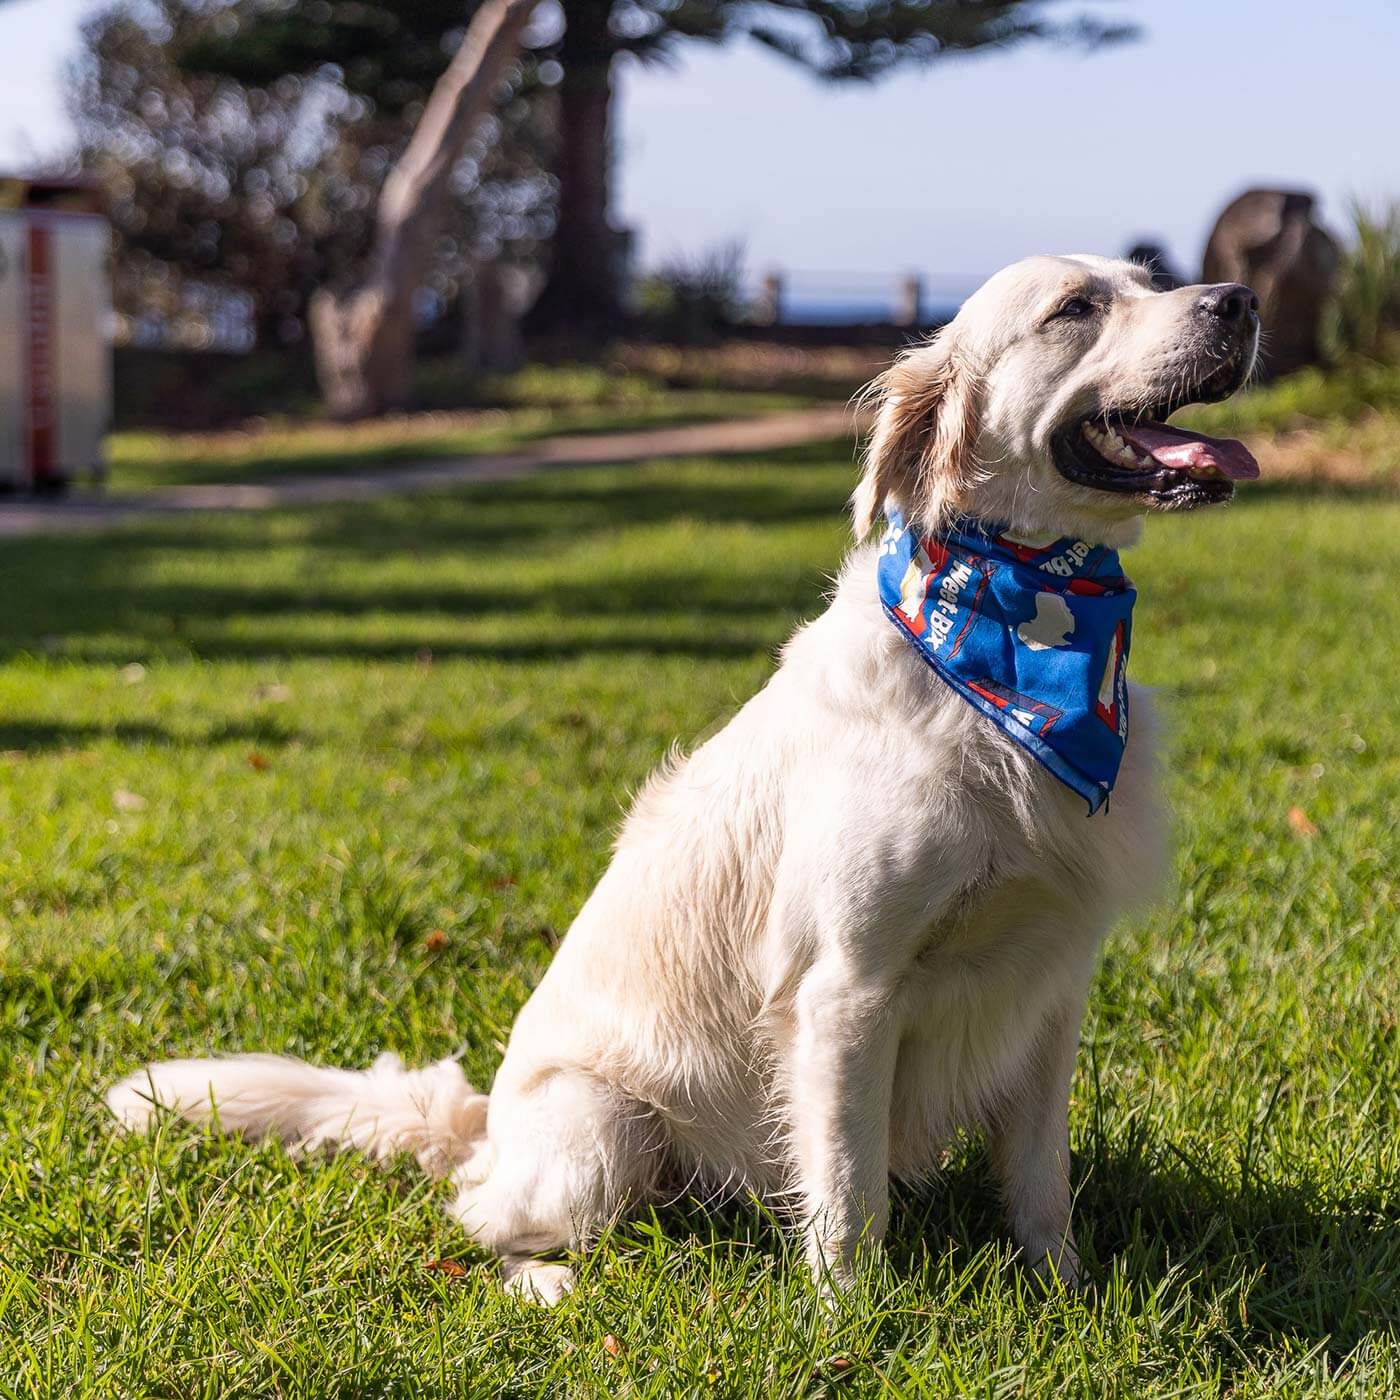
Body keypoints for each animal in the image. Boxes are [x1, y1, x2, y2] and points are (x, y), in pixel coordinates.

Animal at [109, 254, 1265, 1299]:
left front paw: (1066, 1291)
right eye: (1075, 307)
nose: (1239, 300)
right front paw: (854, 1322)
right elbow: (848, 1193)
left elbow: (1038, 1179)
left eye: (1147, 276)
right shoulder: (848, 989)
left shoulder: (1046, 981)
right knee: (484, 1220)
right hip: (601, 1124)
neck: (1019, 640)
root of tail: (489, 1122)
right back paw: (549, 1281)